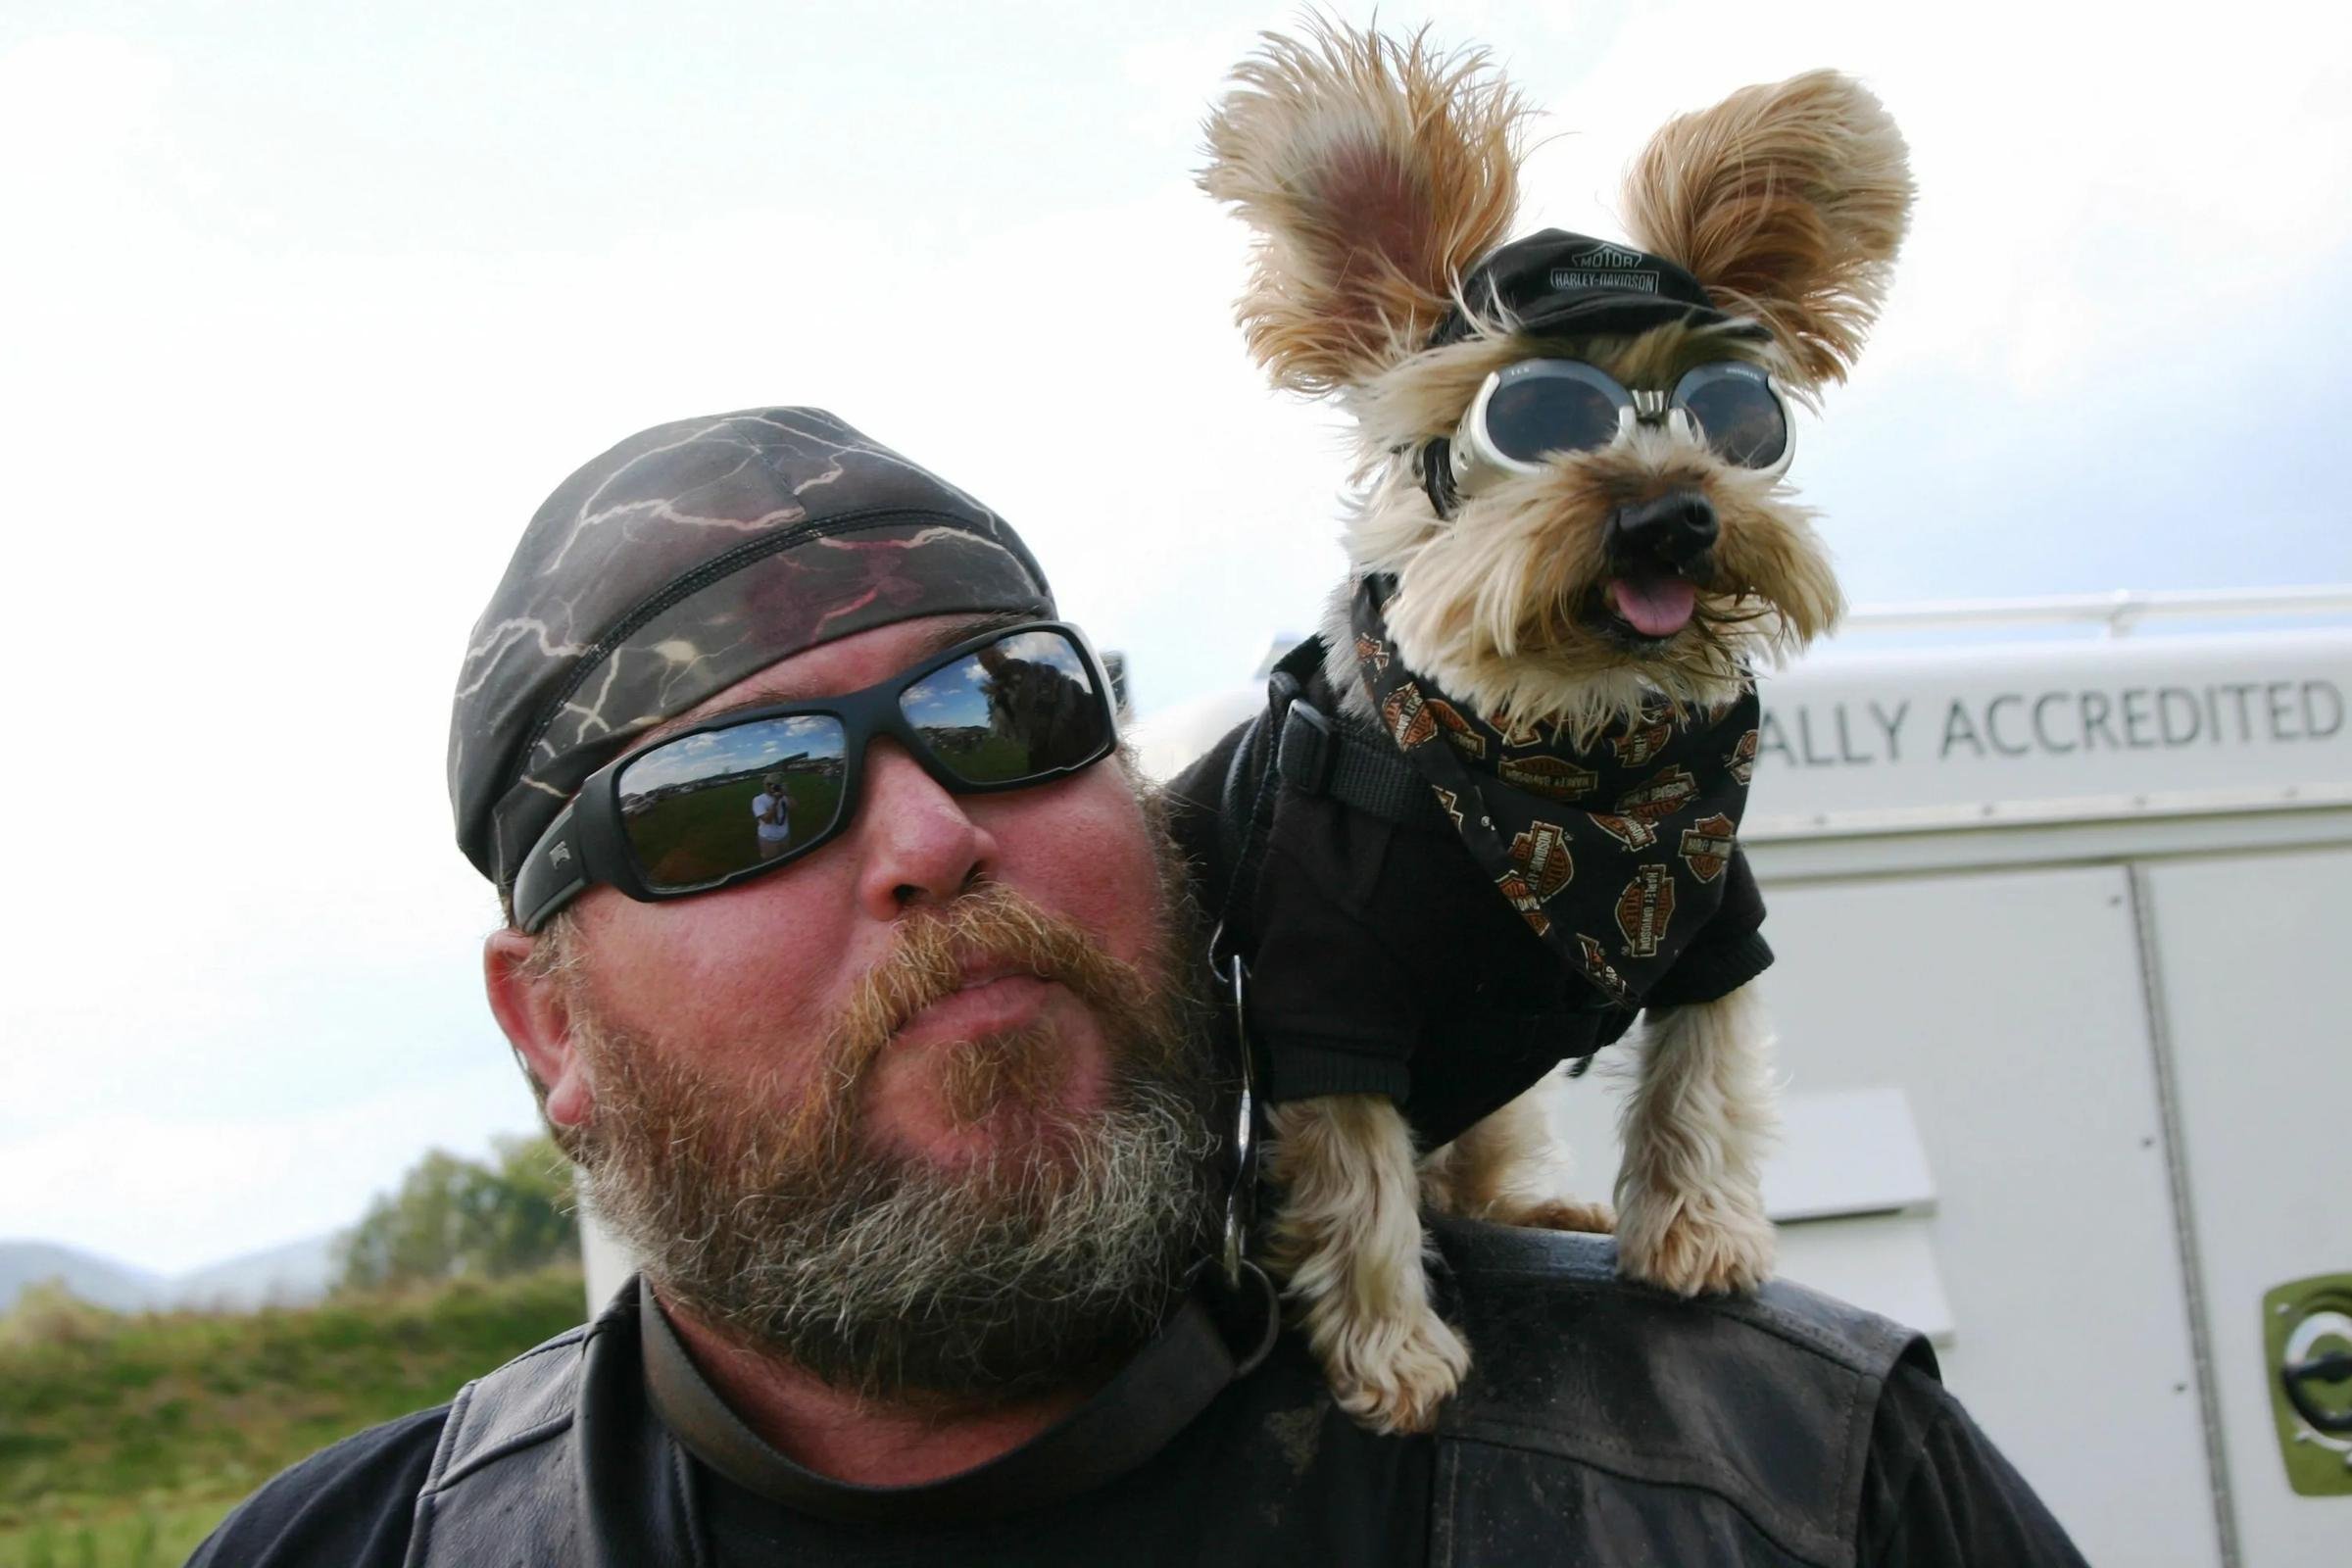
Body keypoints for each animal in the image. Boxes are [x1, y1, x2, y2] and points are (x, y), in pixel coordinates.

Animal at [1195, 21, 1909, 1439]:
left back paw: (1543, 1205)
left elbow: (1700, 1067)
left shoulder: (1715, 908)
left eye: (1739, 414)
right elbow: (1357, 1172)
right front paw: (1394, 1352)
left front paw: (1696, 1232)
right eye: (1529, 418)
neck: (1568, 762)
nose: (1674, 515)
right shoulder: (1320, 989)